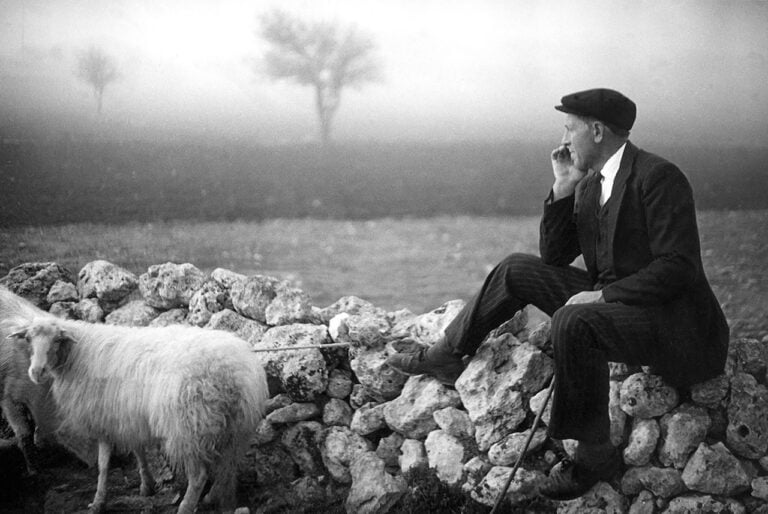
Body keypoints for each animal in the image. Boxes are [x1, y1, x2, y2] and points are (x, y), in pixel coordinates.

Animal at [5, 284, 268, 512]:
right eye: (28, 339)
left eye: (57, 340)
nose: (36, 372)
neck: (79, 354)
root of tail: (231, 373)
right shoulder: (128, 415)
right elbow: (137, 449)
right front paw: (146, 485)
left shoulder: (105, 416)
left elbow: (103, 464)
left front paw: (98, 500)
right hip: (237, 427)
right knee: (228, 465)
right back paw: (216, 497)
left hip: (188, 427)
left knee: (199, 476)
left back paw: (186, 506)